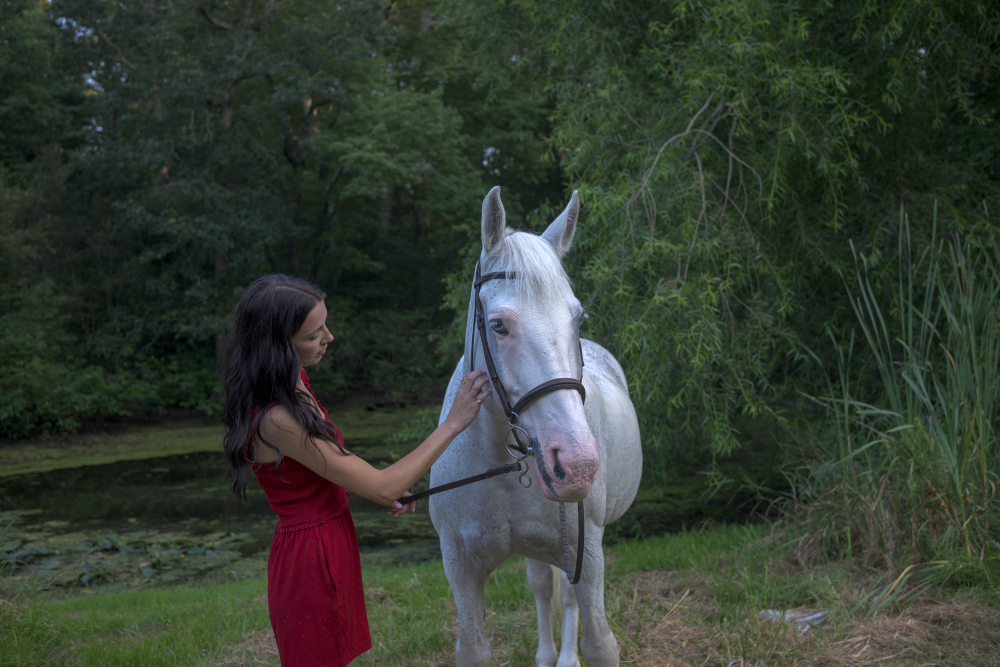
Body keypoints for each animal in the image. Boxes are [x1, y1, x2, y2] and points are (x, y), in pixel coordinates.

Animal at [429, 186, 643, 667]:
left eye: (577, 319)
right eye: (498, 325)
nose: (577, 464)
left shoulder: (587, 552)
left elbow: (599, 642)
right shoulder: (459, 565)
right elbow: (473, 646)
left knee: (565, 595)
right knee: (543, 586)